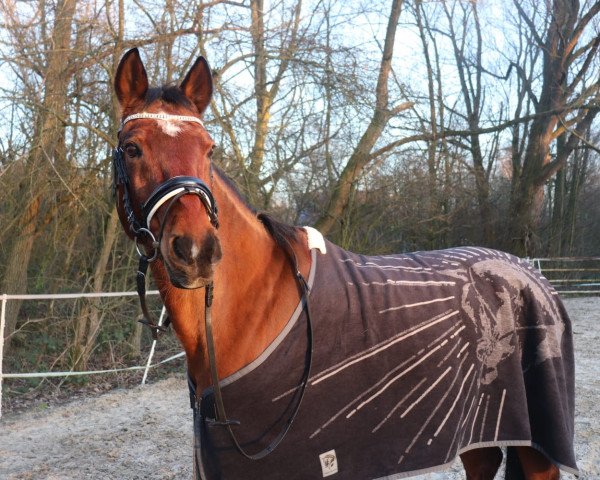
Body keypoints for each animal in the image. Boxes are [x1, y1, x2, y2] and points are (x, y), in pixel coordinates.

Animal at [111, 49, 576, 480]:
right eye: (132, 149)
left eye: (209, 150)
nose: (196, 251)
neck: (251, 312)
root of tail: (535, 276)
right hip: (478, 431)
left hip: (536, 449)